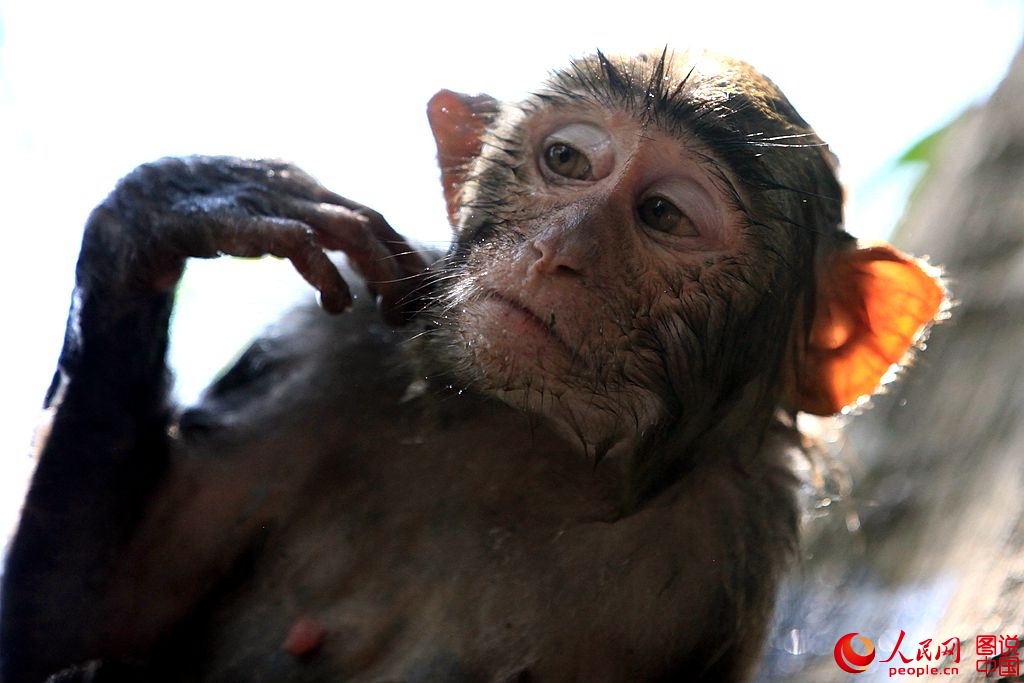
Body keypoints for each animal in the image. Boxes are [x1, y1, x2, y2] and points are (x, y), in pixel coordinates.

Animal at [0, 50, 946, 679]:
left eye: (666, 214)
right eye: (566, 159)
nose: (557, 252)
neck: (522, 442)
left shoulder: (707, 556)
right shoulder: (337, 348)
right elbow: (73, 619)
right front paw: (176, 208)